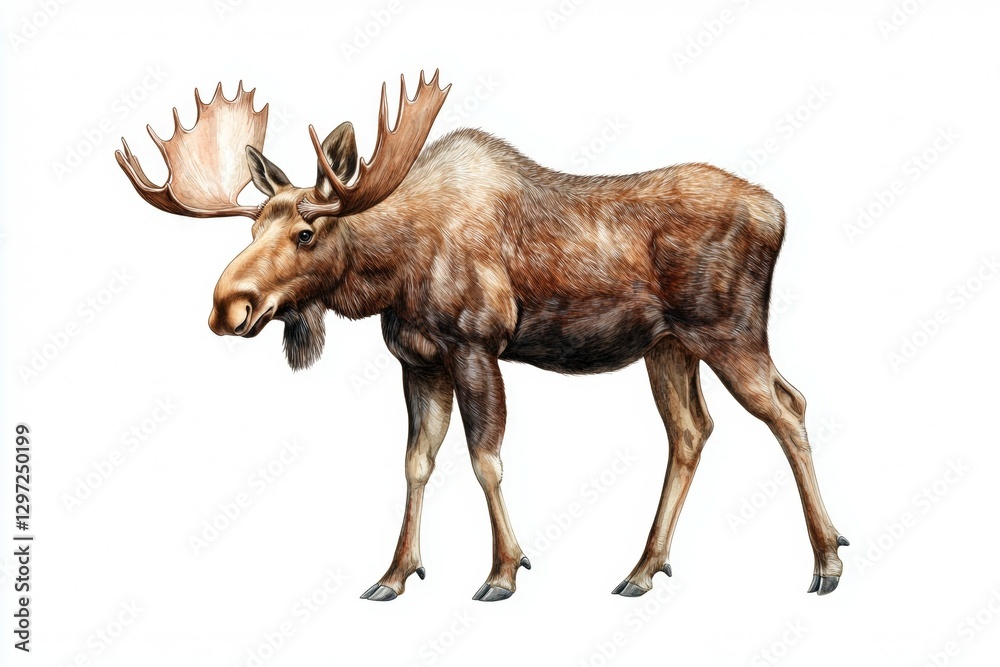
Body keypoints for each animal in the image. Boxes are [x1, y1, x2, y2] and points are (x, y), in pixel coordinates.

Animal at [115, 70, 848, 602]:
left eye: (304, 232)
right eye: (250, 228)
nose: (228, 306)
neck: (392, 270)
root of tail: (779, 211)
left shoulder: (475, 347)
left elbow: (485, 458)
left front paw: (502, 570)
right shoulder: (417, 361)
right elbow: (416, 461)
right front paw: (393, 574)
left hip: (727, 332)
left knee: (786, 409)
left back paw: (826, 559)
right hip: (669, 347)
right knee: (697, 428)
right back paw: (644, 567)